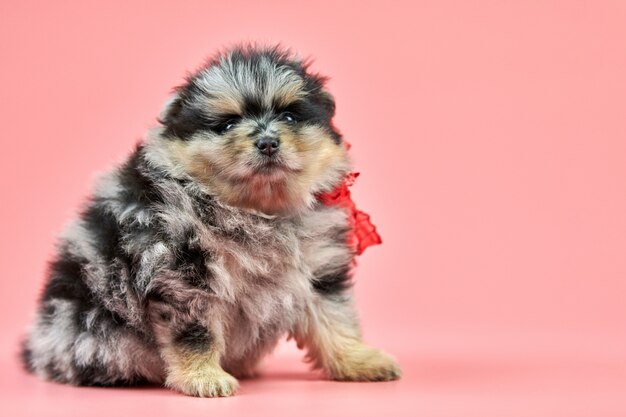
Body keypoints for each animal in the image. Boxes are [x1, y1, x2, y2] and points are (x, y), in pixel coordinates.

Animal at [20, 44, 400, 394]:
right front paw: (204, 377)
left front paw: (360, 360)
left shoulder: (316, 271)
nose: (267, 142)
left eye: (290, 117)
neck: (258, 210)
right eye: (227, 123)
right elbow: (195, 332)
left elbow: (334, 320)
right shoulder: (183, 274)